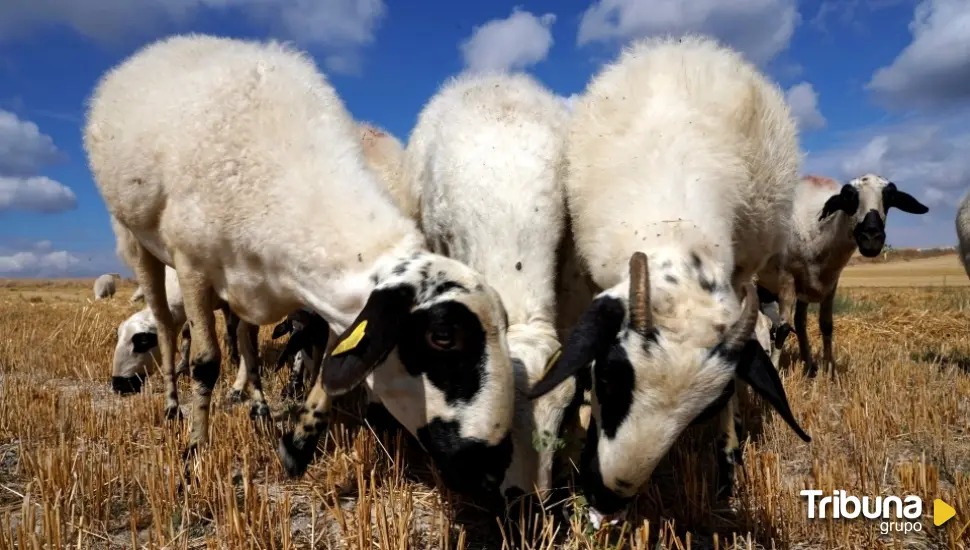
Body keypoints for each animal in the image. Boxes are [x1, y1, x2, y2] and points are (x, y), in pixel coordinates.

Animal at [83, 33, 516, 496]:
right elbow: (206, 363)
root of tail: (166, 44)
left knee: (247, 341)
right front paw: (194, 456)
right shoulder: (192, 265)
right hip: (137, 241)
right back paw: (171, 406)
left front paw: (297, 447)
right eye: (443, 337)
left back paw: (257, 407)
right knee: (166, 327)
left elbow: (322, 362)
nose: (494, 468)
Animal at [752, 175, 928, 378]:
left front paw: (829, 371)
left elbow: (825, 325)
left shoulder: (828, 283)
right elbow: (783, 329)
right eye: (848, 197)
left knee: (799, 323)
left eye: (890, 197)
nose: (871, 239)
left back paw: (809, 366)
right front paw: (774, 368)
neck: (819, 229)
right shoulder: (786, 280)